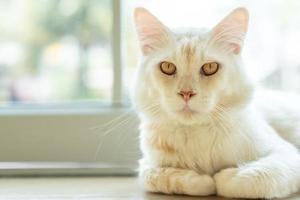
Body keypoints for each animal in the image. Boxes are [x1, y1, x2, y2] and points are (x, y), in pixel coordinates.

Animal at [132, 6, 300, 198]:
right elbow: (158, 177)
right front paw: (203, 180)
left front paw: (223, 177)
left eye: (210, 68)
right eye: (167, 67)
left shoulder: (286, 154)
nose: (186, 93)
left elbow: (253, 179)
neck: (196, 133)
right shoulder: (147, 164)